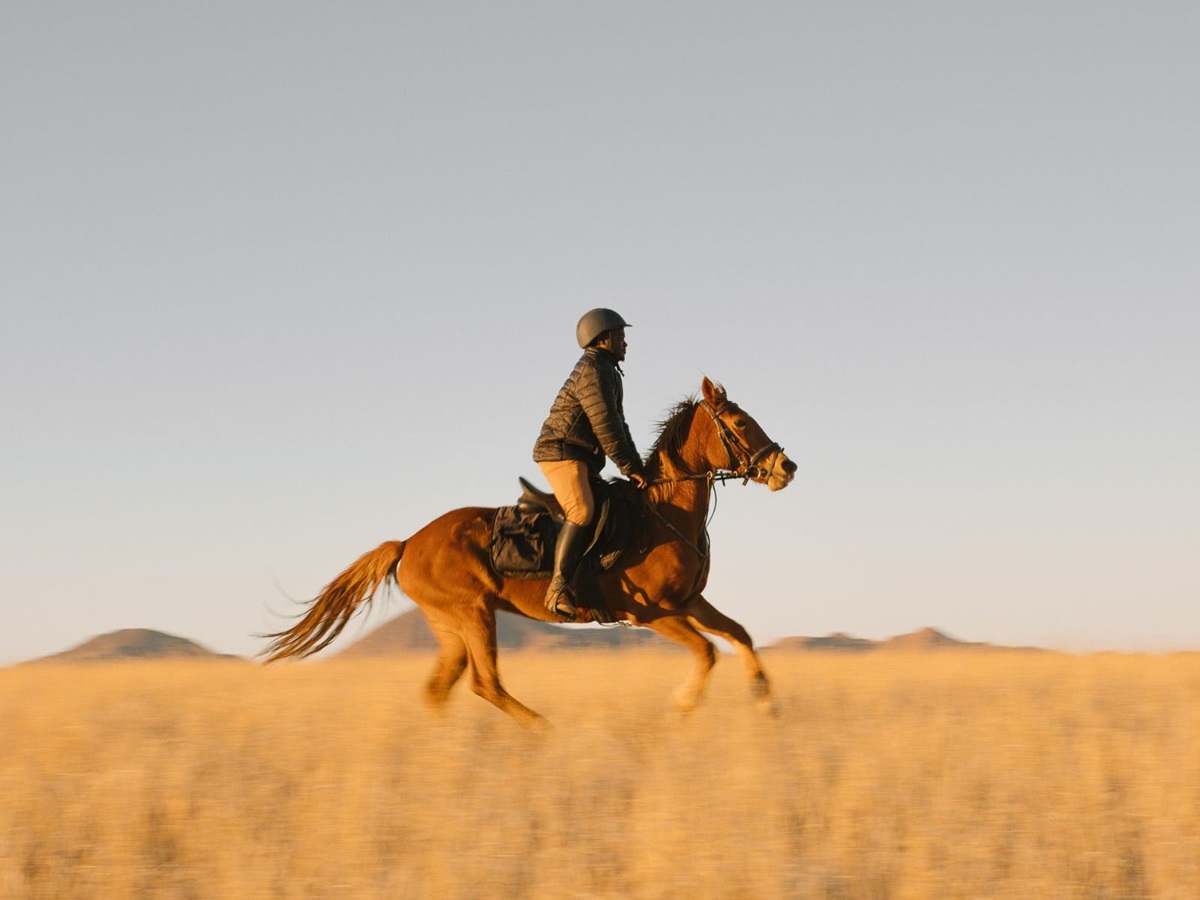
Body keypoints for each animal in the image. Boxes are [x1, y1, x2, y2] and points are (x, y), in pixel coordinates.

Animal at [262, 377, 796, 726]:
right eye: (739, 422)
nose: (785, 467)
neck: (661, 512)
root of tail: (409, 542)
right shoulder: (652, 613)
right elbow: (707, 651)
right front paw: (683, 705)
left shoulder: (688, 602)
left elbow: (739, 634)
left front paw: (766, 701)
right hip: (474, 614)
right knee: (485, 684)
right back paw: (541, 731)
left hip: (450, 626)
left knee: (440, 689)